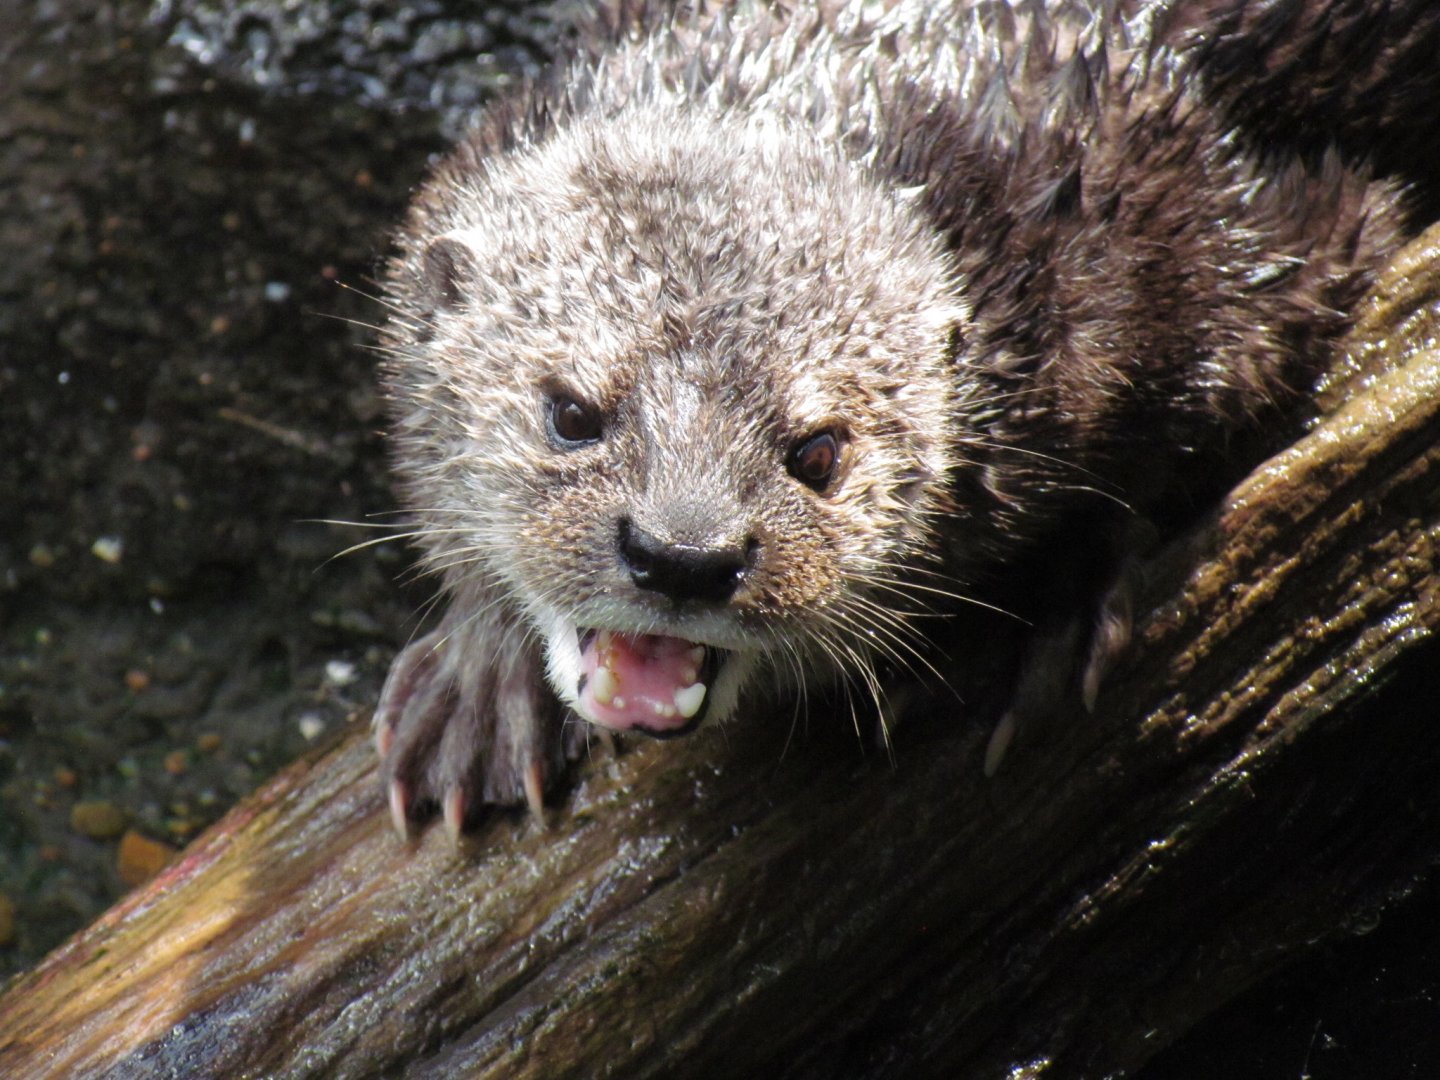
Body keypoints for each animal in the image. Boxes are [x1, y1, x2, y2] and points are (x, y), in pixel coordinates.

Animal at [373, 0, 1440, 838]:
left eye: (817, 451)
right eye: (569, 413)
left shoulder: (1246, 239)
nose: (684, 555)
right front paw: (482, 682)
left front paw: (1050, 606)